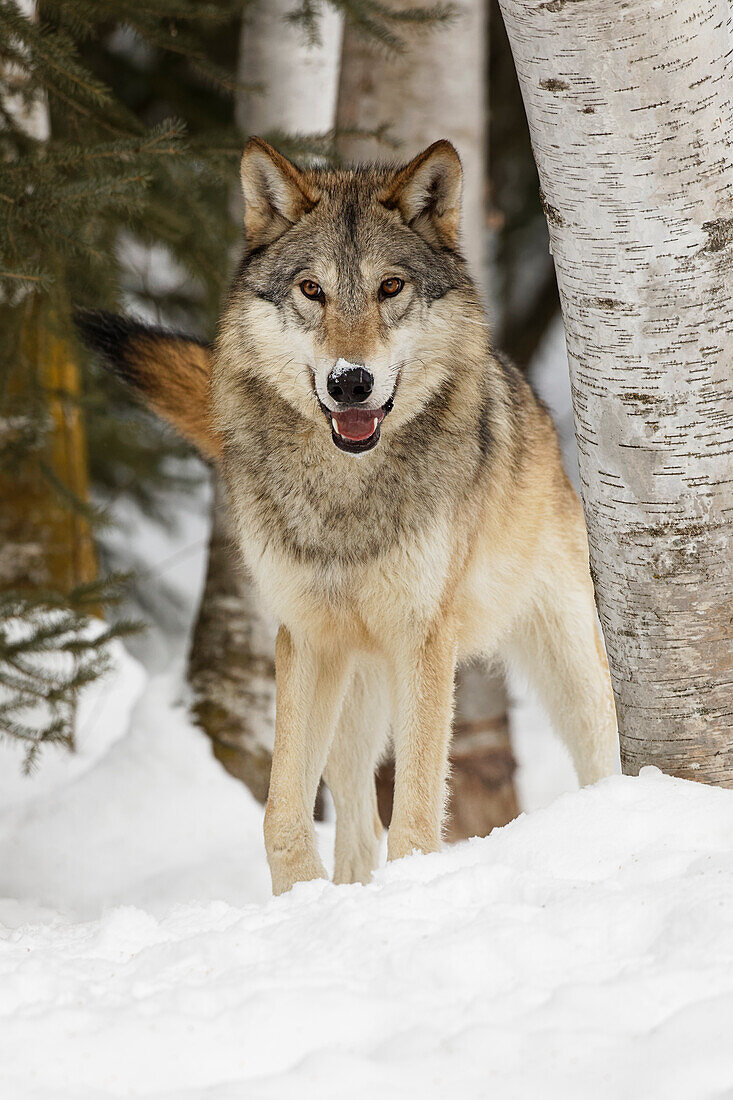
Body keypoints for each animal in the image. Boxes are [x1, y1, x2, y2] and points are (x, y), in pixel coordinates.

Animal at [78, 137, 616, 893]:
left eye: (390, 288)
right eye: (312, 290)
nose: (350, 382)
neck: (344, 496)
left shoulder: (423, 641)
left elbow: (417, 819)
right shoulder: (304, 640)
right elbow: (281, 815)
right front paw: (299, 897)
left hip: (565, 660)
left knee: (599, 751)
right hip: (354, 703)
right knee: (359, 829)